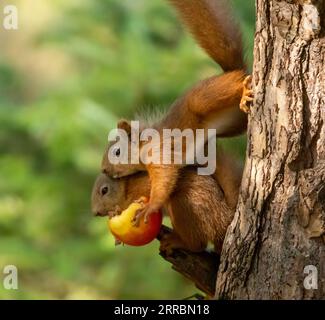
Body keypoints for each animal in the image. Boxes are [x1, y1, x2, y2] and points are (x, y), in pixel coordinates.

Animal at [100, 0, 251, 224]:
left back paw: (244, 90)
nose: (104, 169)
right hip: (234, 123)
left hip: (203, 99)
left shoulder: (158, 152)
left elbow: (164, 181)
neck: (143, 144)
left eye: (117, 151)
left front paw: (150, 207)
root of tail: (234, 71)